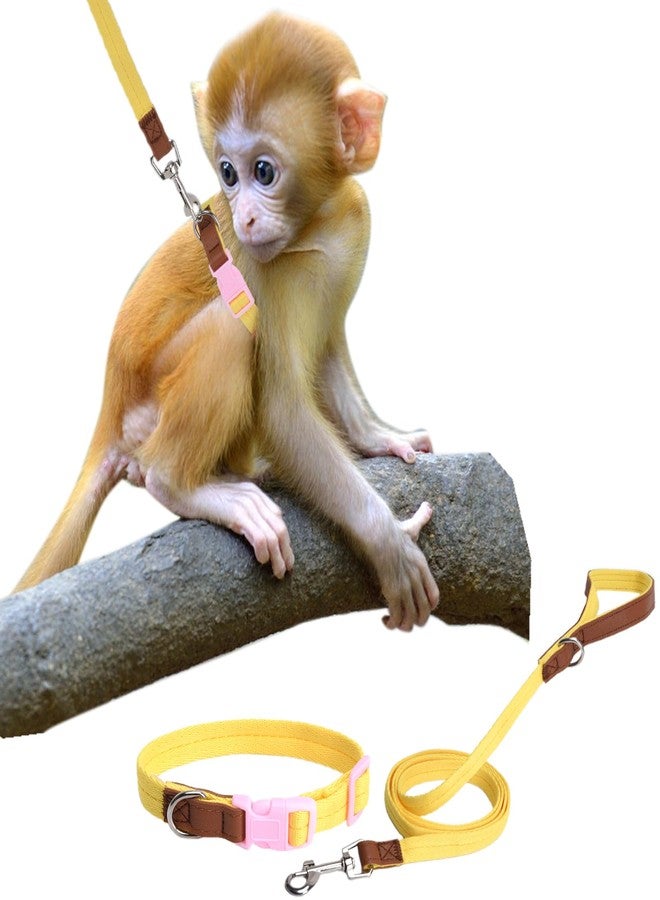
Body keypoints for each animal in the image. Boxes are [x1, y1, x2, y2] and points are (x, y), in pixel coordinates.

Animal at [15, 12, 439, 631]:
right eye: (227, 174)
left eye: (262, 171)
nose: (242, 217)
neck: (319, 226)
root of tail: (111, 402)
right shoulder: (257, 272)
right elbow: (283, 407)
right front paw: (387, 544)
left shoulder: (355, 227)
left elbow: (328, 351)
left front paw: (379, 437)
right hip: (152, 405)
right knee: (230, 330)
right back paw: (186, 485)